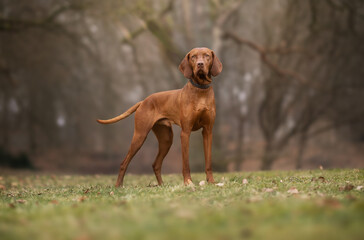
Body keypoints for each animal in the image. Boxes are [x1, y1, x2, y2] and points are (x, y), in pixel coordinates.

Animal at [96, 47, 222, 187]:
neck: (201, 91)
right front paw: (188, 182)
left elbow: (208, 161)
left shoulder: (208, 131)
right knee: (124, 162)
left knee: (156, 164)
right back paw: (118, 186)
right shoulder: (185, 132)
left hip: (166, 139)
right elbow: (185, 163)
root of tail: (144, 101)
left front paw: (211, 181)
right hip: (140, 135)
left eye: (207, 56)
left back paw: (161, 185)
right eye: (194, 57)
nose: (200, 64)